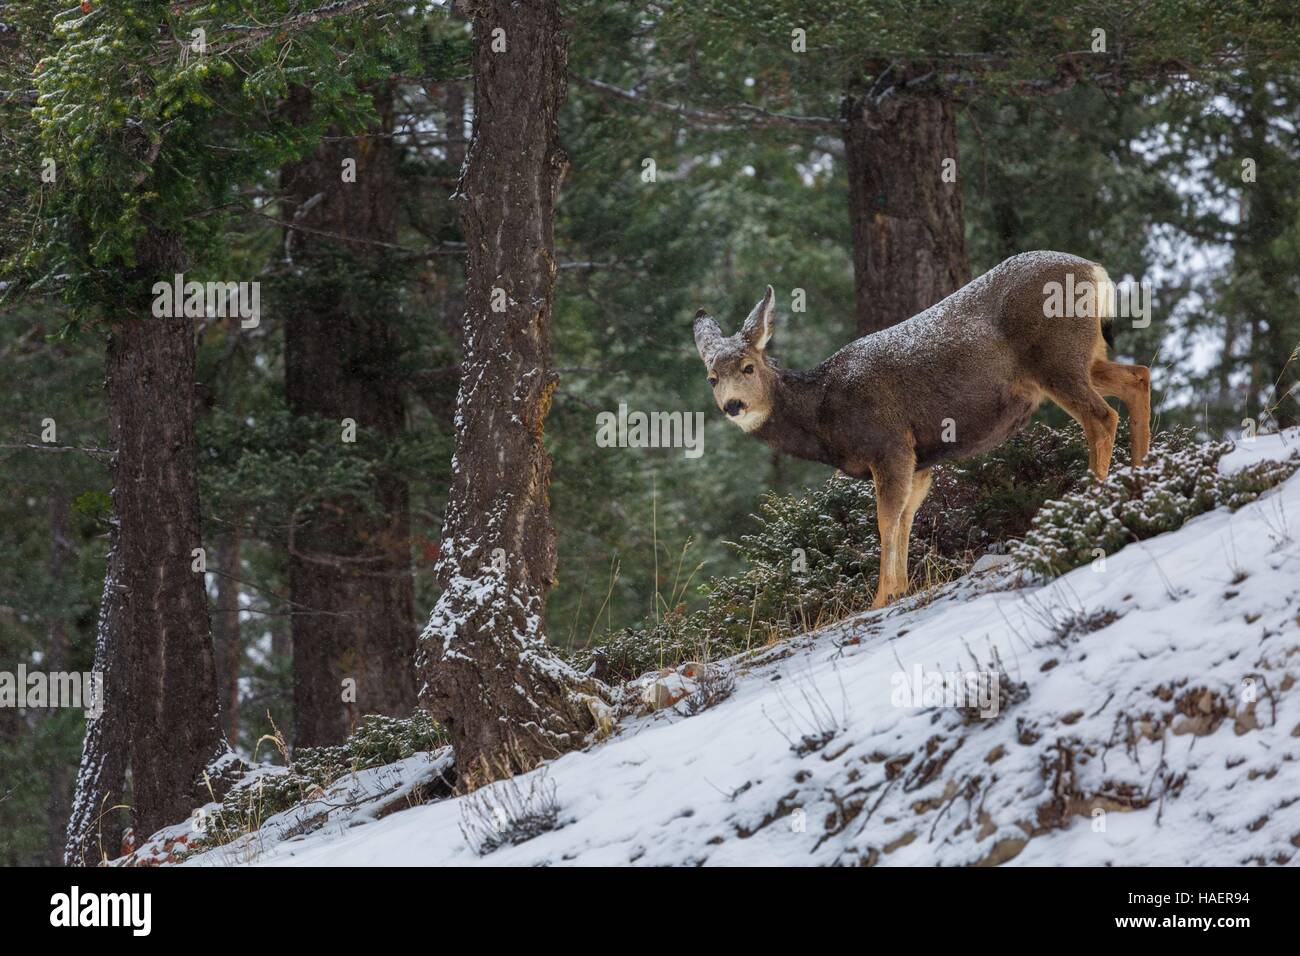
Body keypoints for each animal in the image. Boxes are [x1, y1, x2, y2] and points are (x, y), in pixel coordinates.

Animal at [696, 247, 1154, 606]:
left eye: (748, 367)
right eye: (712, 378)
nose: (733, 405)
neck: (824, 412)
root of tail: (1095, 271)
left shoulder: (890, 444)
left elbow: (886, 520)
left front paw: (881, 596)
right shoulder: (919, 461)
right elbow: (906, 518)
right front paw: (900, 589)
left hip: (1056, 356)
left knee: (1101, 417)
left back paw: (1093, 499)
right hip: (1085, 356)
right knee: (1138, 377)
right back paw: (1140, 476)